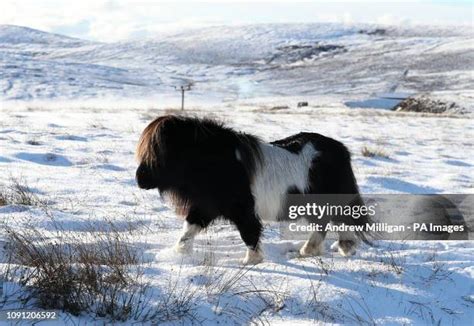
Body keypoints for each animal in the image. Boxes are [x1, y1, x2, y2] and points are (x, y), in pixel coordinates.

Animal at [135, 116, 368, 264]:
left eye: (159, 152)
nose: (139, 179)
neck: (215, 161)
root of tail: (342, 150)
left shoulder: (243, 210)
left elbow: (250, 233)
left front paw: (251, 261)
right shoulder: (206, 207)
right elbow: (188, 229)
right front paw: (177, 254)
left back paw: (325, 248)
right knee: (326, 223)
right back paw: (325, 249)